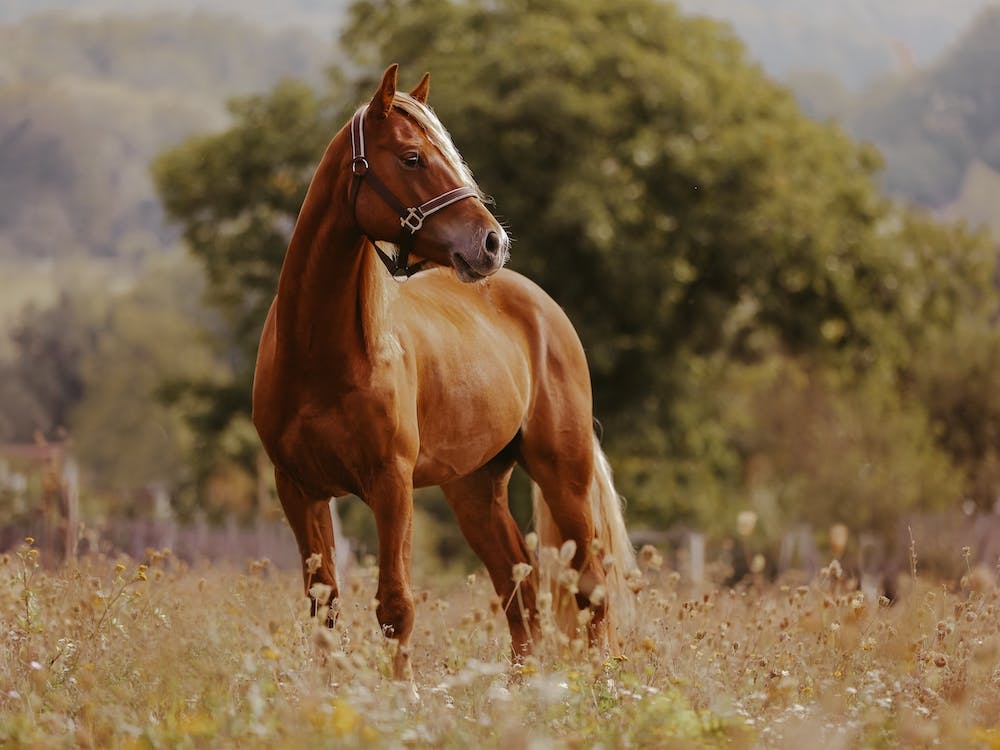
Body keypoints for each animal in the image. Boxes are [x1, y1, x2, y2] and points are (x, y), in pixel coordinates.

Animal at [252, 64, 637, 680]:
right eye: (412, 157)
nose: (492, 242)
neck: (320, 358)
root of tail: (542, 306)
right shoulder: (298, 489)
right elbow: (324, 605)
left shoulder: (390, 484)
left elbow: (395, 605)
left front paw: (401, 692)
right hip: (475, 488)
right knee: (519, 587)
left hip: (564, 473)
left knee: (590, 584)